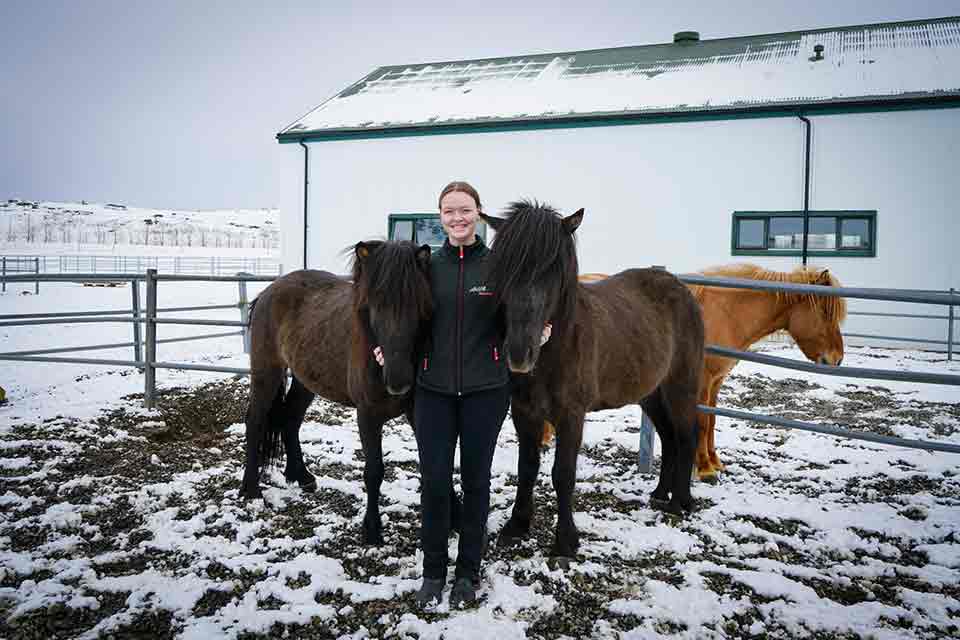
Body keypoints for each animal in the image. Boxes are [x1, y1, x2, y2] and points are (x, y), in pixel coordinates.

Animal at [242, 240, 434, 544]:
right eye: (373, 304)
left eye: (420, 303)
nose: (399, 381)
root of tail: (268, 292)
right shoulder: (367, 416)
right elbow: (374, 471)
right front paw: (372, 530)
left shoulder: (417, 412)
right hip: (266, 372)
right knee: (255, 420)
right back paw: (250, 490)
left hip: (305, 380)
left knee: (290, 419)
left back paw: (301, 476)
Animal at [484, 201, 700, 560]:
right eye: (504, 267)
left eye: (553, 270)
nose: (518, 353)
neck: (557, 347)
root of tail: (681, 289)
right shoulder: (524, 412)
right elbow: (527, 467)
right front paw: (516, 525)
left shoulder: (571, 415)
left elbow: (563, 474)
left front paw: (566, 541)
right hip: (651, 394)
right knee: (669, 437)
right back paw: (660, 494)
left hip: (680, 385)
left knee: (686, 435)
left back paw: (680, 503)